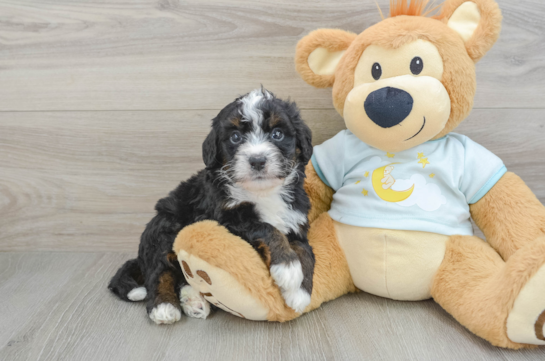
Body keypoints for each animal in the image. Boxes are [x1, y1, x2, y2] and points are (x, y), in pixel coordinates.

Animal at [108, 88, 314, 324]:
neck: (262, 192)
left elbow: (305, 250)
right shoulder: (227, 219)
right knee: (161, 271)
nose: (257, 160)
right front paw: (288, 267)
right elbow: (267, 228)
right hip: (165, 225)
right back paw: (164, 306)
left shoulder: (296, 221)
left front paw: (300, 292)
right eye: (235, 137)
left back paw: (194, 300)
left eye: (277, 134)